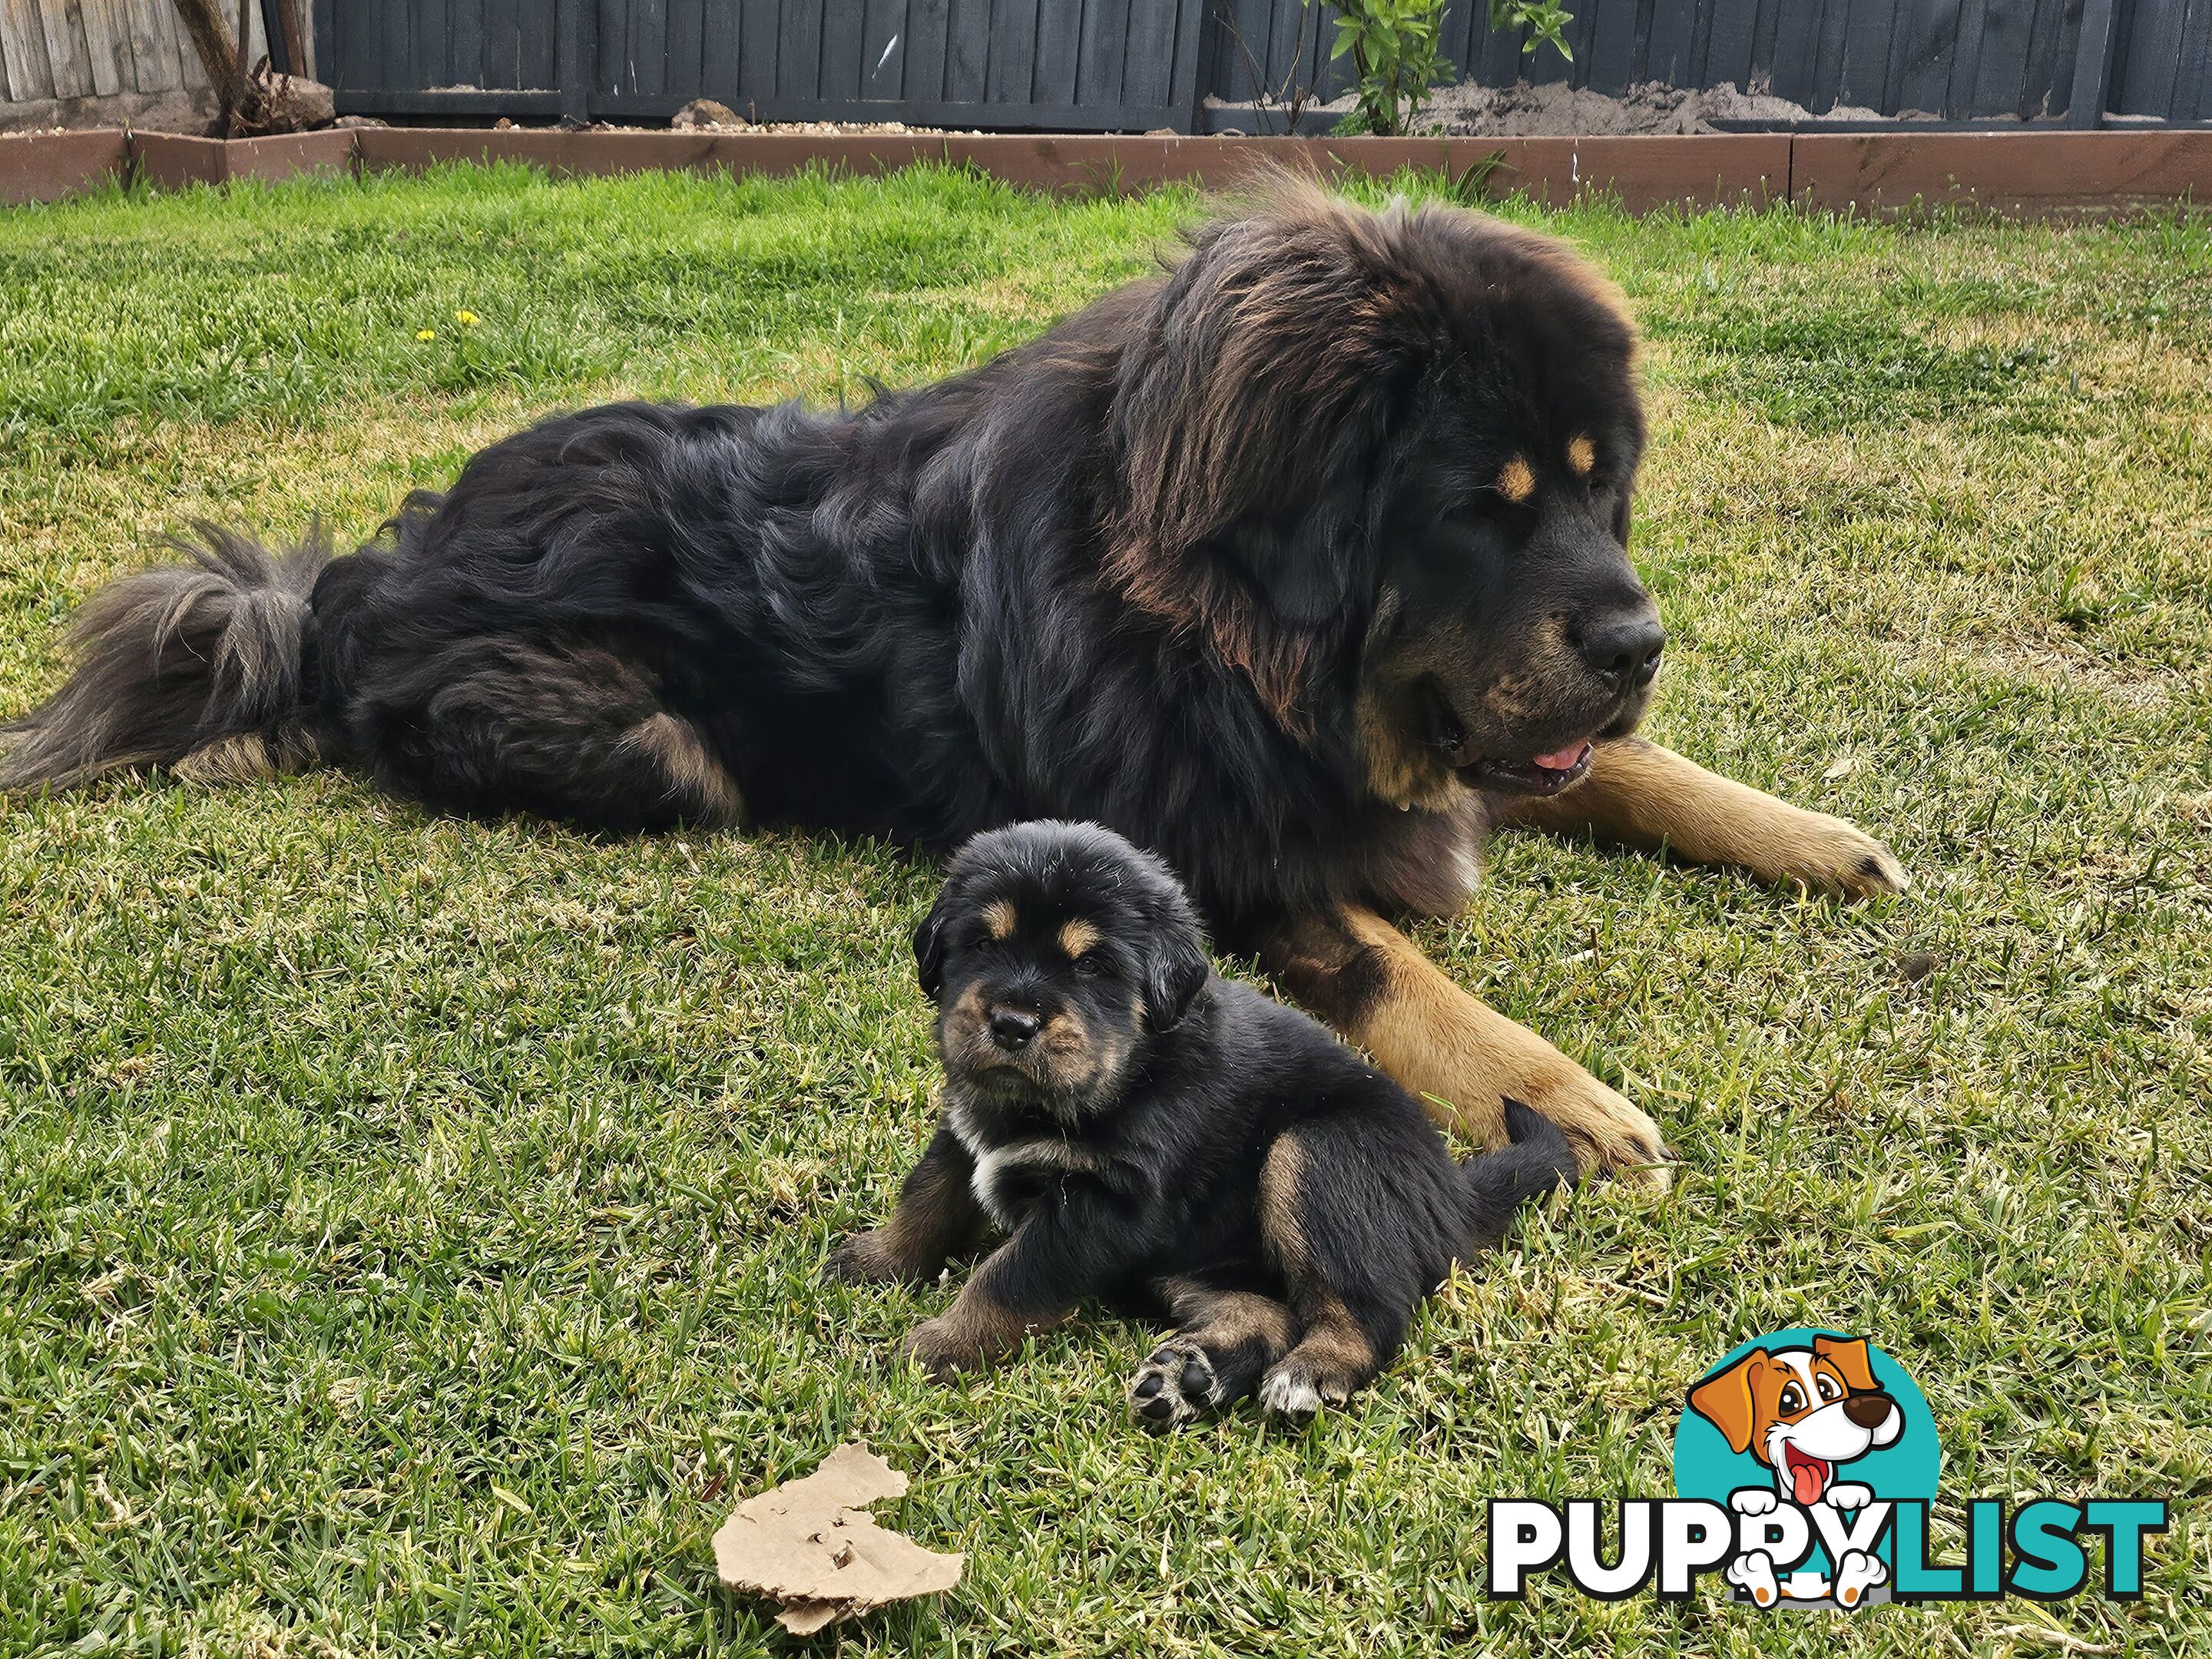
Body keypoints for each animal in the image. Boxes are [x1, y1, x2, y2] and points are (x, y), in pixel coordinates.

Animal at [4, 181, 1902, 1185]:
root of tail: (358, 577)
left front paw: (1806, 832)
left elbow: (1612, 772)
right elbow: (1395, 973)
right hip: (648, 743)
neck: (1215, 633)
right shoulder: (1213, 862)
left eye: (1598, 492)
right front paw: (1559, 1093)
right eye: (1483, 509)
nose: (1638, 644)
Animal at [827, 827, 1575, 1433]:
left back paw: (1310, 1373)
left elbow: (1006, 1278)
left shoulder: (1102, 1204)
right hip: (1191, 1262)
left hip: (1317, 1154)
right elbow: (926, 1199)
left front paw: (936, 1346)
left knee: (1369, 1309)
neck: (1124, 1074)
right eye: (981, 943)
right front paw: (870, 1262)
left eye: (1092, 965)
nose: (1011, 1024)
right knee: (1268, 1314)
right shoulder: (965, 1134)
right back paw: (1188, 1379)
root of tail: (1453, 1192)